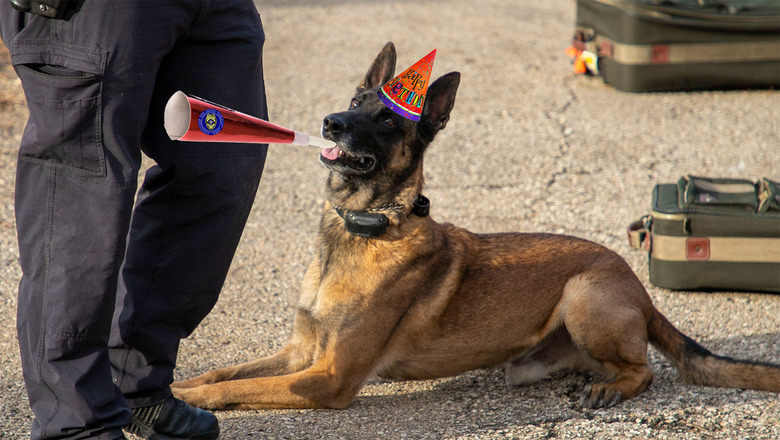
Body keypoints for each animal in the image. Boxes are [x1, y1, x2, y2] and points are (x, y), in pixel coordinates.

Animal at [172, 43, 780, 410]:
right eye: (355, 100)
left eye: (386, 119)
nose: (331, 122)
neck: (367, 226)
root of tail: (636, 283)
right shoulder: (301, 354)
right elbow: (227, 373)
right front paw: (179, 383)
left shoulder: (326, 377)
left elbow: (246, 386)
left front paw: (179, 401)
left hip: (584, 294)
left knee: (645, 370)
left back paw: (612, 388)